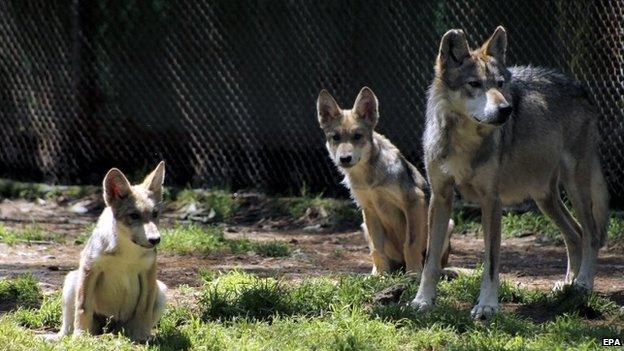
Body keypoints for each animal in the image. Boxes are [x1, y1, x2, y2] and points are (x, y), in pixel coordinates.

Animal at [56, 162, 167, 340]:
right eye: (134, 216)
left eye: (155, 214)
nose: (155, 240)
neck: (127, 252)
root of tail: (110, 329)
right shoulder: (90, 268)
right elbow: (82, 307)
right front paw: (80, 337)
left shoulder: (148, 273)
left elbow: (144, 311)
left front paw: (141, 338)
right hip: (72, 280)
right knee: (67, 329)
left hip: (161, 291)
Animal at [320, 86, 450, 274]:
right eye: (335, 137)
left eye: (357, 136)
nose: (344, 159)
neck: (368, 177)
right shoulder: (369, 209)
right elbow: (376, 249)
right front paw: (380, 275)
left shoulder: (414, 201)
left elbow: (410, 243)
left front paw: (413, 273)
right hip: (364, 226)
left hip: (446, 224)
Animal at [410, 26, 608, 320]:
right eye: (474, 84)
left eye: (501, 83)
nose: (506, 109)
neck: (464, 142)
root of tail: (581, 87)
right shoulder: (441, 197)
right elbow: (430, 260)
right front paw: (423, 300)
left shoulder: (491, 201)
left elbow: (491, 262)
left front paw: (487, 305)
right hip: (544, 198)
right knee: (575, 234)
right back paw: (567, 286)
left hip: (574, 186)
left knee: (591, 234)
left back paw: (583, 283)